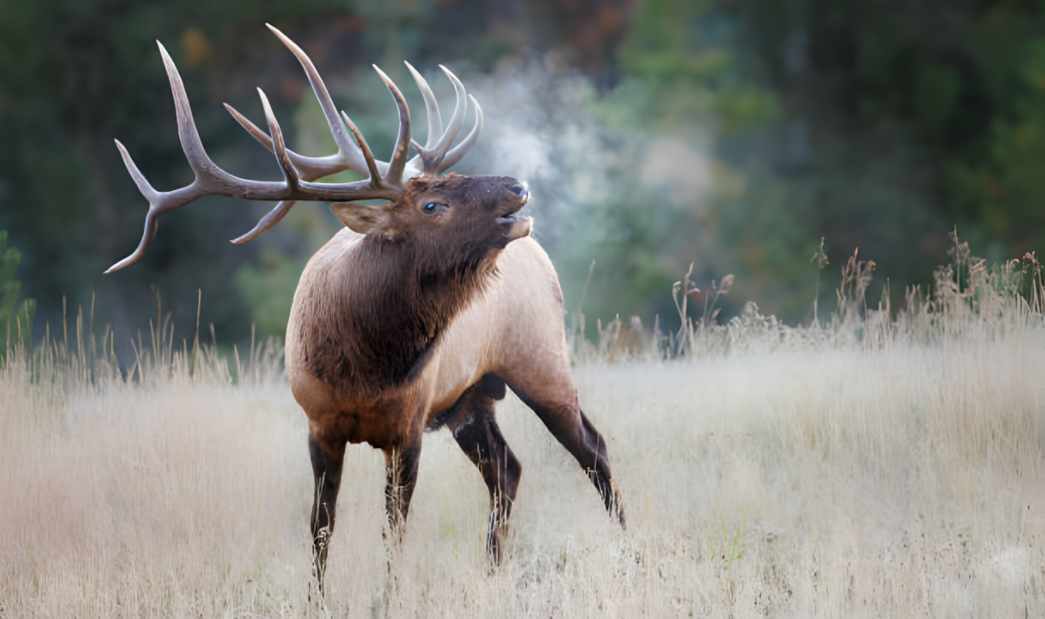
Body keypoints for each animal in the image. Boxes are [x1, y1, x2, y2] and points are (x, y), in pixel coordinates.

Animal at [106, 24, 622, 585]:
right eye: (432, 203)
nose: (517, 186)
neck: (365, 365)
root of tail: (541, 254)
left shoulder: (409, 426)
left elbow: (392, 531)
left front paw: (388, 594)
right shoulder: (319, 424)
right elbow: (320, 527)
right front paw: (317, 595)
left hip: (540, 359)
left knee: (592, 450)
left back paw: (630, 547)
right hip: (470, 399)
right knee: (507, 469)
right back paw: (492, 569)